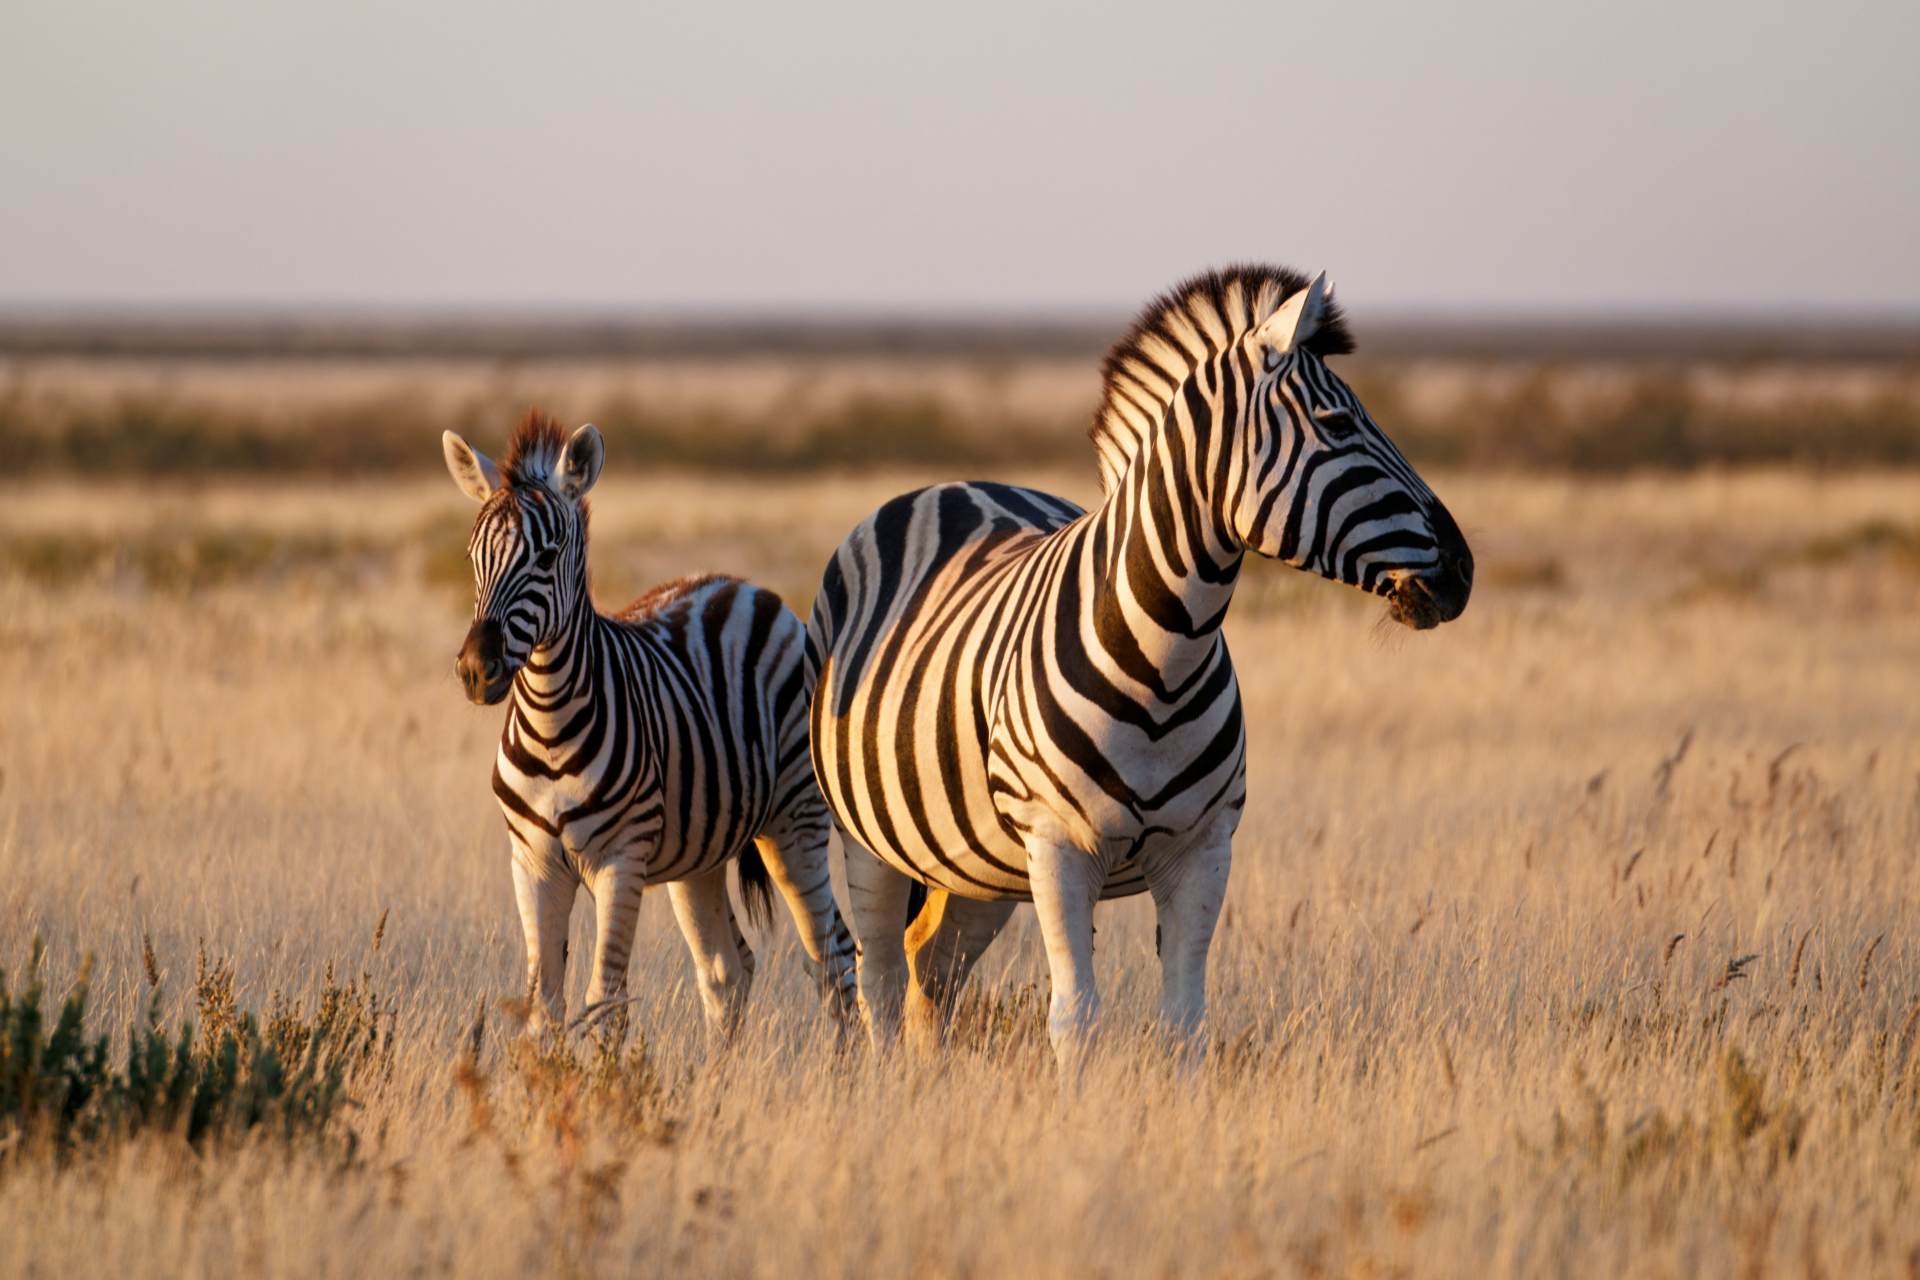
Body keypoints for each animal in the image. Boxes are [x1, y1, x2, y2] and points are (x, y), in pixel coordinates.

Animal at [442, 409, 858, 1041]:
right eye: (472, 558)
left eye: (547, 556)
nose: (475, 669)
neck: (549, 721)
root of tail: (742, 586)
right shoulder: (532, 862)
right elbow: (544, 1005)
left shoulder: (621, 858)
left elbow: (605, 999)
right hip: (702, 852)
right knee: (726, 969)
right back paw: (719, 1072)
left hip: (796, 821)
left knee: (832, 955)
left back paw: (852, 1065)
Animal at [807, 266, 1472, 1070]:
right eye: (1338, 423)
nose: (1464, 570)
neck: (1163, 660)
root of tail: (952, 484)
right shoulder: (1059, 848)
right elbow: (1074, 1018)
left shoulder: (1202, 849)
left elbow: (1186, 1021)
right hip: (870, 837)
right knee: (876, 972)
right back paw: (887, 1083)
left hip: (979, 864)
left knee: (931, 966)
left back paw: (927, 1082)